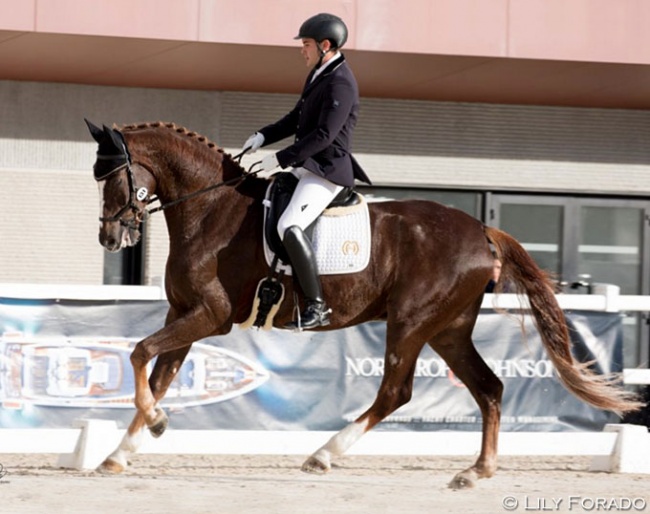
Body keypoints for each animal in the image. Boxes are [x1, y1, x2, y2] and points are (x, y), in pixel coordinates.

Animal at [85, 118, 636, 486]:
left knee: (396, 392)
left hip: (411, 323)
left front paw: (156, 423)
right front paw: (122, 451)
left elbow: (139, 353)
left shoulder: (210, 317)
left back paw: (325, 454)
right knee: (489, 388)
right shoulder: (183, 314)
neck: (210, 209)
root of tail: (481, 230)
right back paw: (476, 471)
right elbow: (156, 374)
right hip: (448, 329)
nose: (111, 239)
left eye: (113, 177)